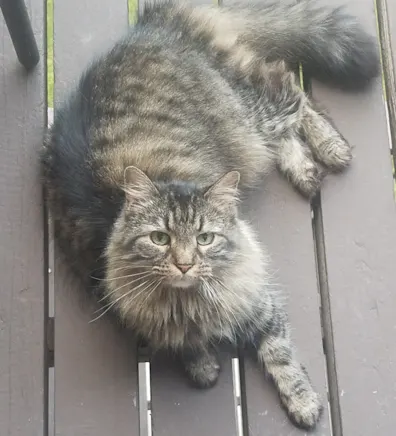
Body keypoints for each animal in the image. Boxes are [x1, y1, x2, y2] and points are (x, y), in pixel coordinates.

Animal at [41, 0, 378, 430]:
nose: (184, 264)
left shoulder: (257, 299)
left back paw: (331, 149)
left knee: (294, 94)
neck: (188, 304)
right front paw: (202, 365)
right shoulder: (116, 296)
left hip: (249, 112)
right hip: (249, 128)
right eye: (160, 238)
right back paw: (305, 171)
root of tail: (154, 22)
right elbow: (180, 345)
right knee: (284, 125)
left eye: (205, 238)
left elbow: (280, 354)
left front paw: (303, 404)